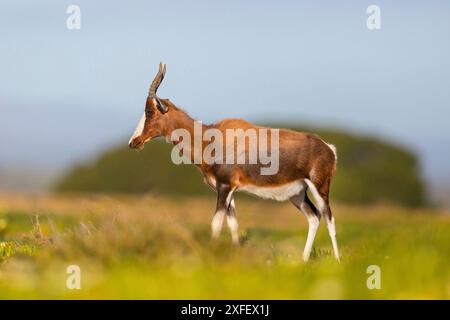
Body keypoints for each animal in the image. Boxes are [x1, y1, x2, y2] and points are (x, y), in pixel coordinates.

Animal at [128, 62, 340, 262]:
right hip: (297, 193)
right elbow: (233, 224)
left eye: (149, 111)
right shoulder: (227, 189)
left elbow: (215, 223)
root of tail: (328, 147)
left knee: (329, 217)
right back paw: (303, 260)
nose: (133, 142)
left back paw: (338, 261)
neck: (211, 138)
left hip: (320, 187)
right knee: (314, 217)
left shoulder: (225, 187)